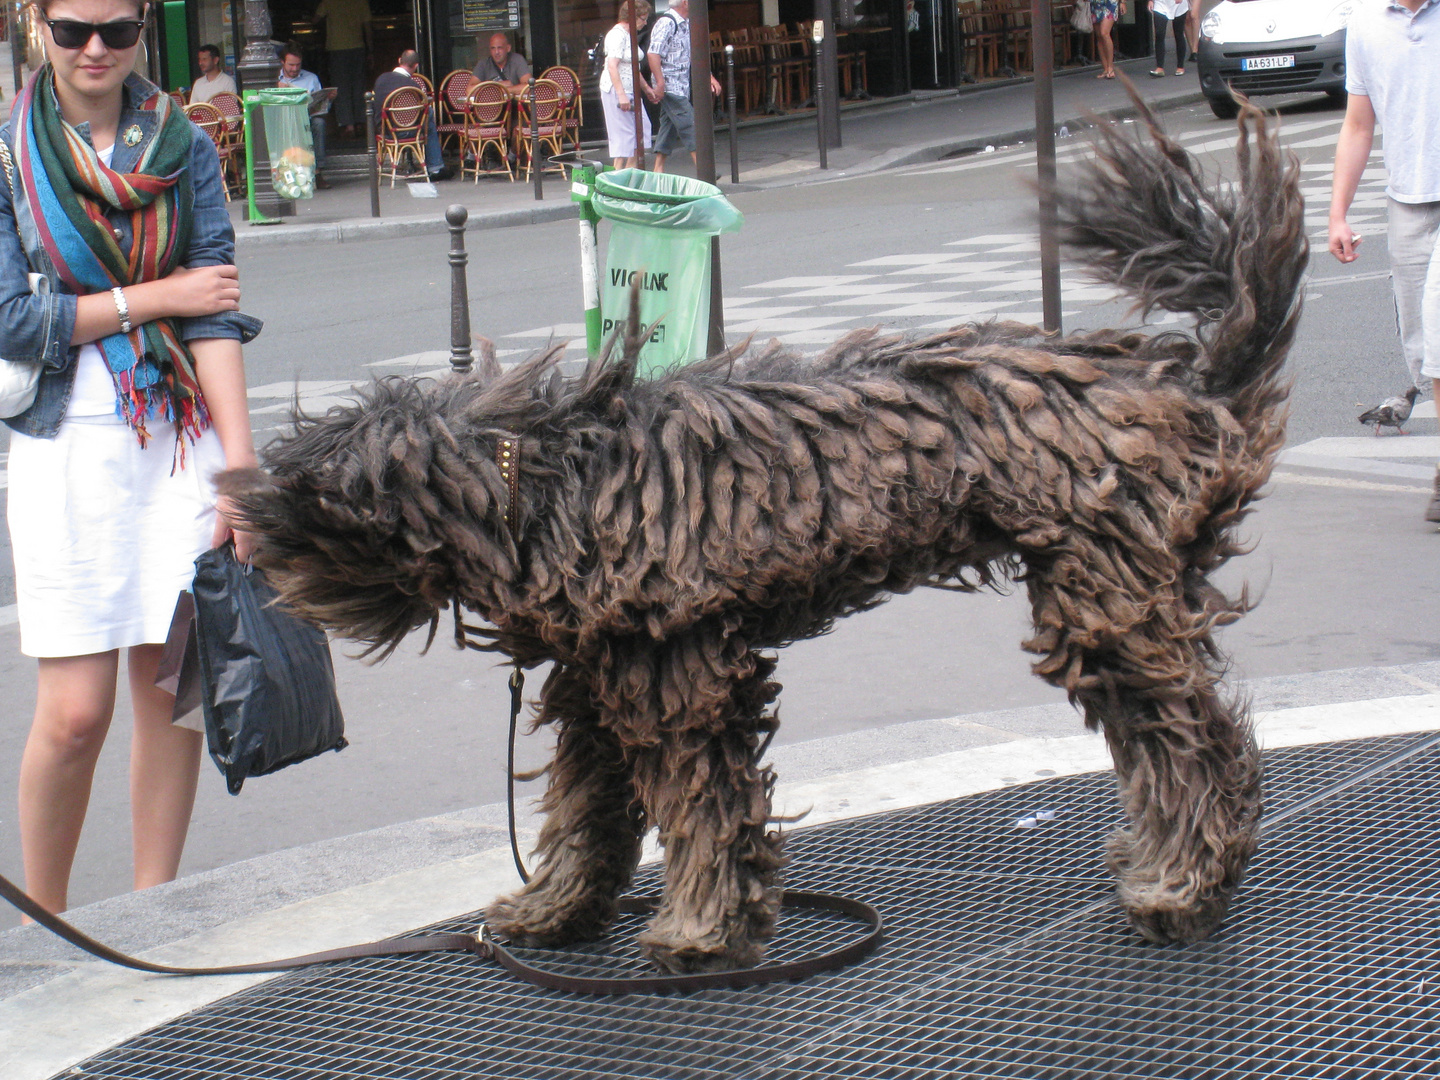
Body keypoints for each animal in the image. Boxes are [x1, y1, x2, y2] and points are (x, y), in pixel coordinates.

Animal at [221, 97, 1307, 979]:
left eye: (305, 501)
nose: (236, 509)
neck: (534, 481)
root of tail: (1182, 386)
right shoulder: (598, 681)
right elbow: (585, 812)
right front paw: (554, 911)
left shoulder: (678, 671)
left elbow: (703, 806)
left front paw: (702, 933)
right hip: (1121, 606)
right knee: (1182, 744)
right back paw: (1170, 867)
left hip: (1108, 604)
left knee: (1194, 746)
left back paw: (1183, 888)